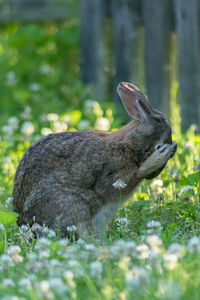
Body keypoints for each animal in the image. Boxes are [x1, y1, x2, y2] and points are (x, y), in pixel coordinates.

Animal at [12, 82, 177, 239]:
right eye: (159, 145)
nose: (154, 175)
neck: (130, 144)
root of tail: (25, 223)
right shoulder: (114, 174)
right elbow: (127, 179)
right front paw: (159, 157)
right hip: (73, 206)